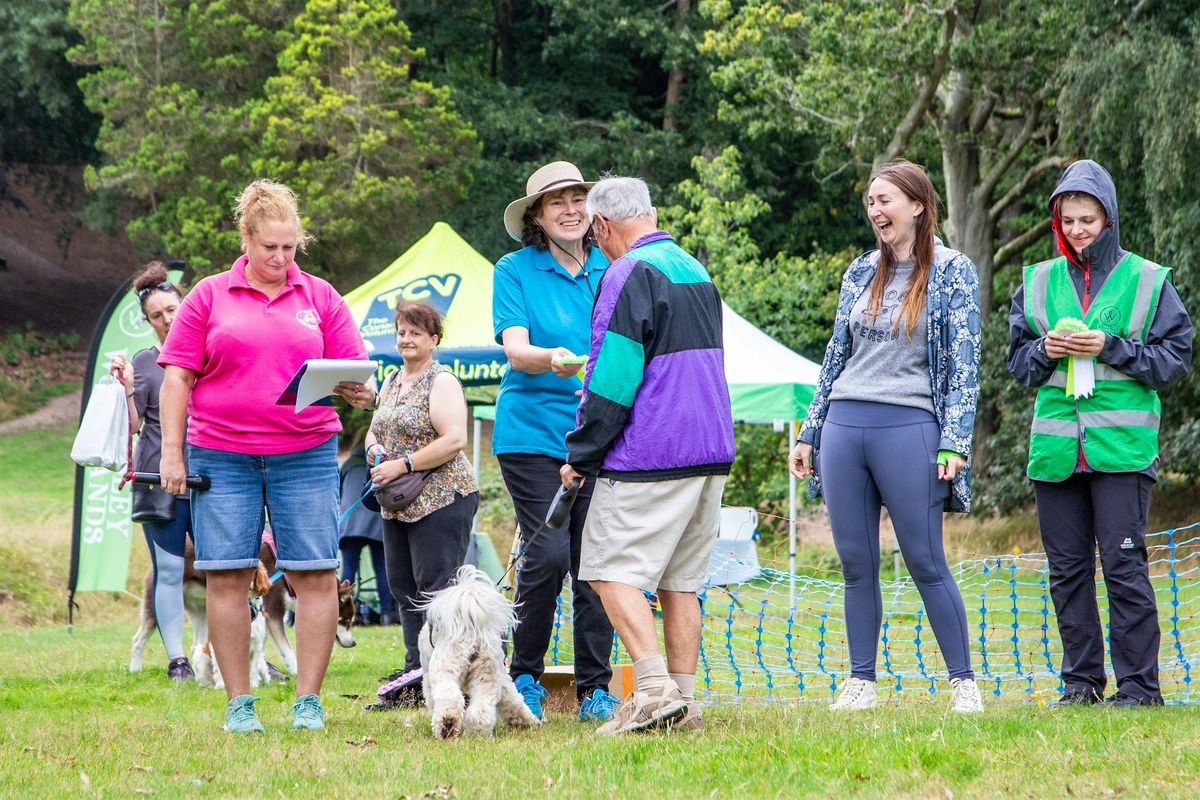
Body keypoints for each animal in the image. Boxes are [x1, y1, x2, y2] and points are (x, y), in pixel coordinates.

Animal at [417, 566, 540, 743]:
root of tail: (471, 632)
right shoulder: (503, 682)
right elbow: (513, 702)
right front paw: (529, 721)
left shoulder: (427, 678)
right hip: (486, 675)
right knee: (480, 710)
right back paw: (474, 734)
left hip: (445, 668)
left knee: (449, 698)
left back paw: (447, 726)